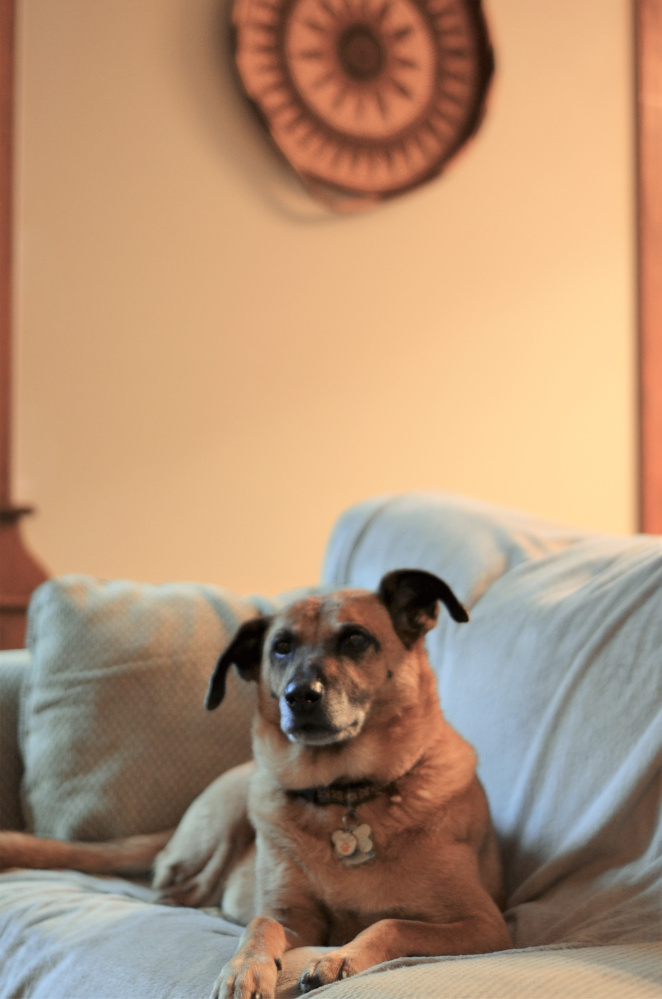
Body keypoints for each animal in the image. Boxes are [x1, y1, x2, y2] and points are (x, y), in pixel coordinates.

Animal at [202, 572, 512, 999]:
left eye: (355, 639)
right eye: (281, 647)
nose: (299, 696)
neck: (346, 792)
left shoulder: (483, 923)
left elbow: (392, 923)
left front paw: (342, 957)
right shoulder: (294, 917)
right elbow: (260, 924)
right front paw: (244, 968)